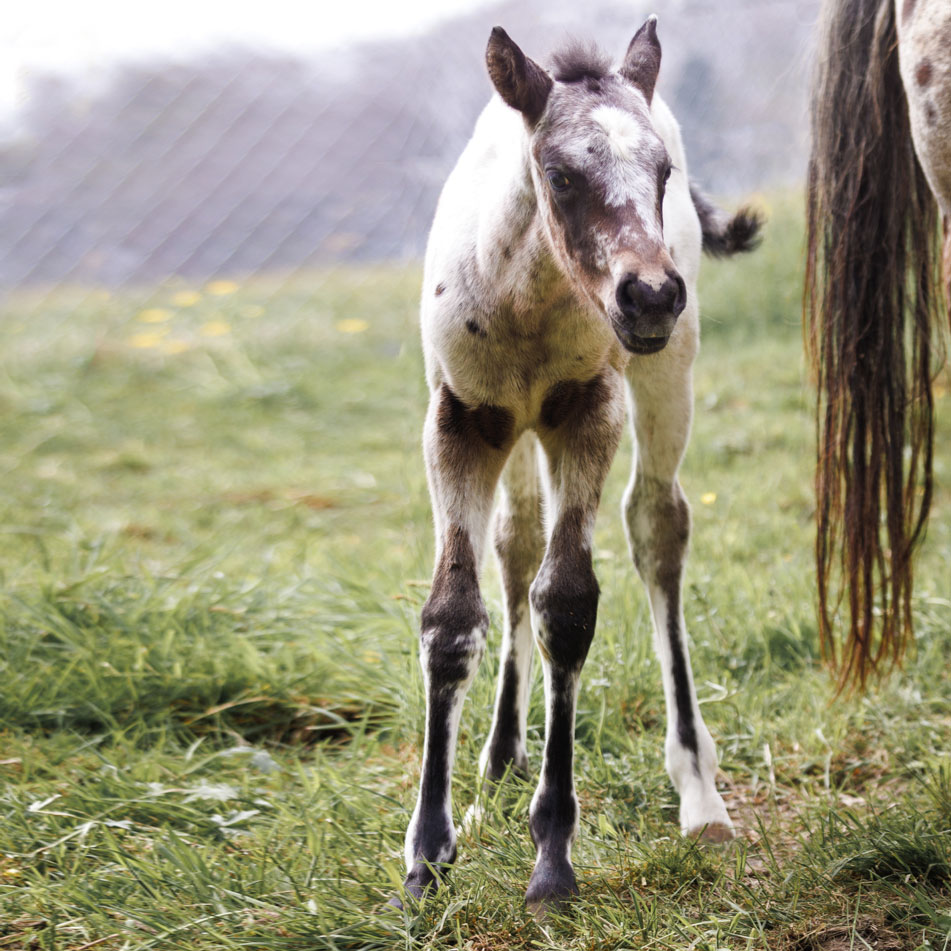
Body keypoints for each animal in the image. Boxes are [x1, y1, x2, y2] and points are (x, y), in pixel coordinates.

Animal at [398, 18, 764, 916]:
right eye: (561, 174)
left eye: (663, 174)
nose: (650, 295)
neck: (527, 297)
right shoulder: (460, 421)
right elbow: (451, 615)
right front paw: (426, 854)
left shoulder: (584, 409)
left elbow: (566, 603)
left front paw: (552, 857)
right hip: (513, 432)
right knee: (516, 541)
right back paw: (497, 759)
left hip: (668, 372)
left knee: (656, 524)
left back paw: (697, 792)